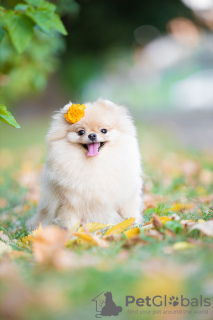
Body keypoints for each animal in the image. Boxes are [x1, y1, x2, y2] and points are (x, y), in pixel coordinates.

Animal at [26, 99, 143, 229]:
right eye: (81, 132)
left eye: (103, 130)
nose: (91, 135)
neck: (94, 164)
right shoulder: (69, 202)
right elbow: (70, 220)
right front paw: (70, 232)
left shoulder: (125, 197)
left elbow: (128, 215)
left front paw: (132, 226)